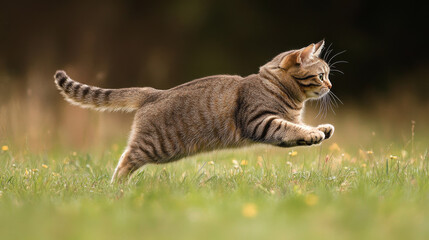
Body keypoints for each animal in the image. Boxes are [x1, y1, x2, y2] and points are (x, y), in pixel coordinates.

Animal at [53, 40, 334, 183]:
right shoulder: (260, 121)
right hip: (156, 147)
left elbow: (298, 126)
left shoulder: (282, 121)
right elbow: (290, 128)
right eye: (321, 76)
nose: (331, 85)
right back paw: (117, 189)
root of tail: (154, 92)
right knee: (124, 160)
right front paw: (313, 134)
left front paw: (321, 129)